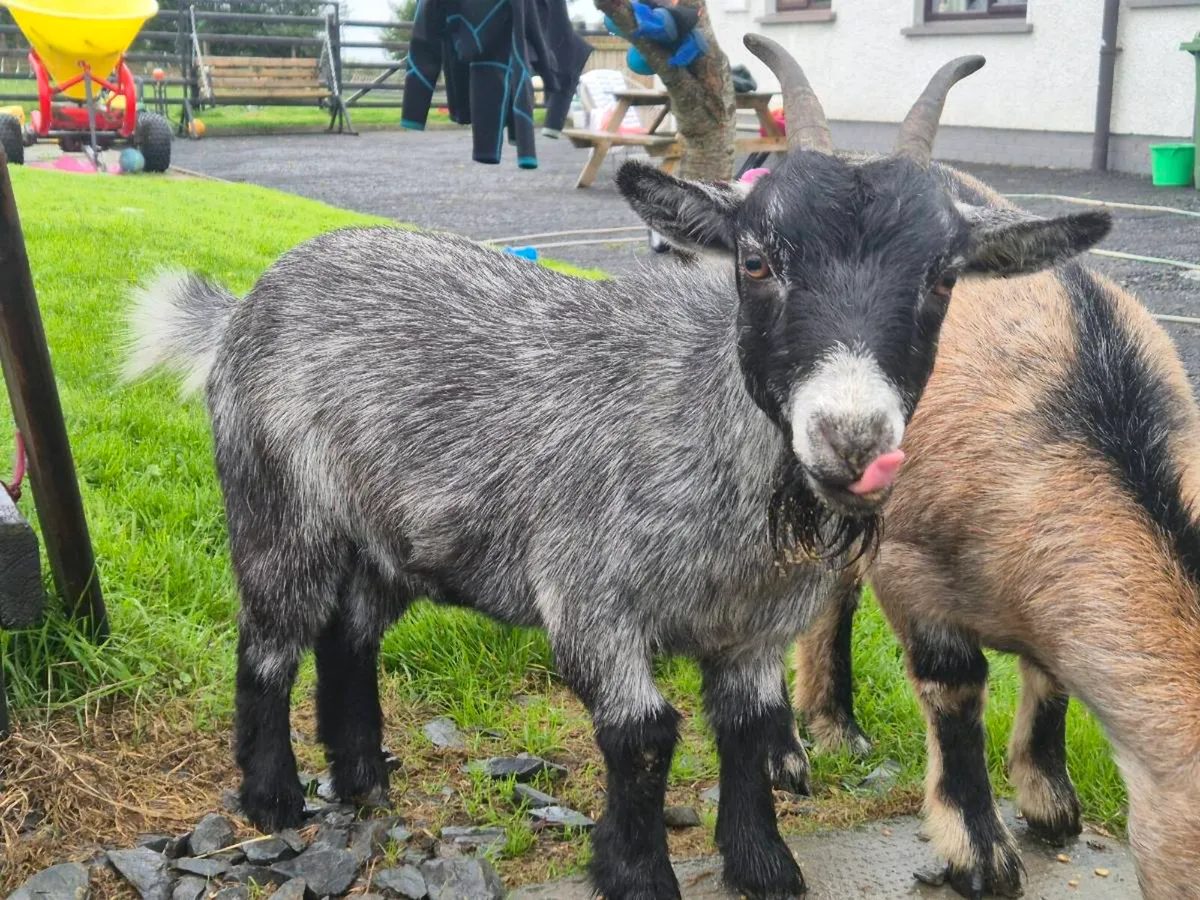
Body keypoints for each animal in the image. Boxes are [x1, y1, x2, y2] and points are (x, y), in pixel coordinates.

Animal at [124, 36, 1109, 900]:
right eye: (757, 259)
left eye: (944, 278)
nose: (852, 439)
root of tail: (243, 305)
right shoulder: (589, 595)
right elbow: (642, 735)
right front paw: (636, 874)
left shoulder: (752, 630)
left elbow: (747, 730)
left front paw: (764, 866)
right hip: (276, 505)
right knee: (268, 644)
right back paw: (274, 798)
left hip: (391, 533)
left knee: (348, 636)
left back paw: (365, 776)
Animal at [789, 134, 1200, 899]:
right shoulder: (913, 567)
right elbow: (955, 686)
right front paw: (978, 853)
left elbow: (1052, 678)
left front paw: (1049, 801)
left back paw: (835, 727)